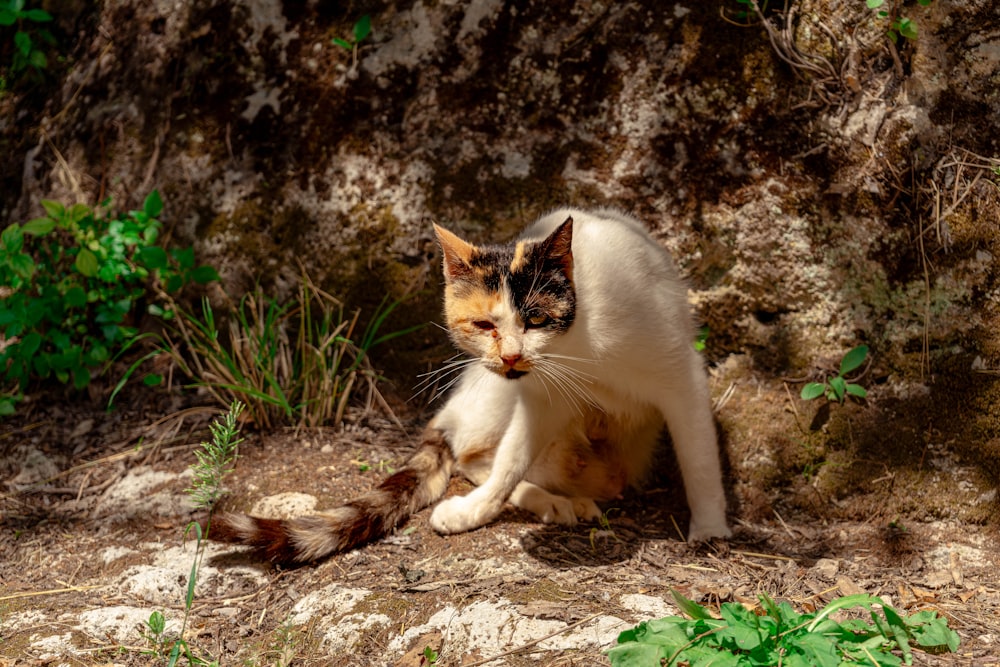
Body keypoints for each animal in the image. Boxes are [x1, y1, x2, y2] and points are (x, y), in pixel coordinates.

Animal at [211, 209, 732, 564]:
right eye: (484, 324)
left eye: (536, 319)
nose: (511, 356)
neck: (580, 346)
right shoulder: (537, 397)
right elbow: (508, 463)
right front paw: (477, 511)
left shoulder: (682, 377)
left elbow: (700, 461)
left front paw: (710, 529)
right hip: (497, 397)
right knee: (473, 455)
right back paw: (548, 502)